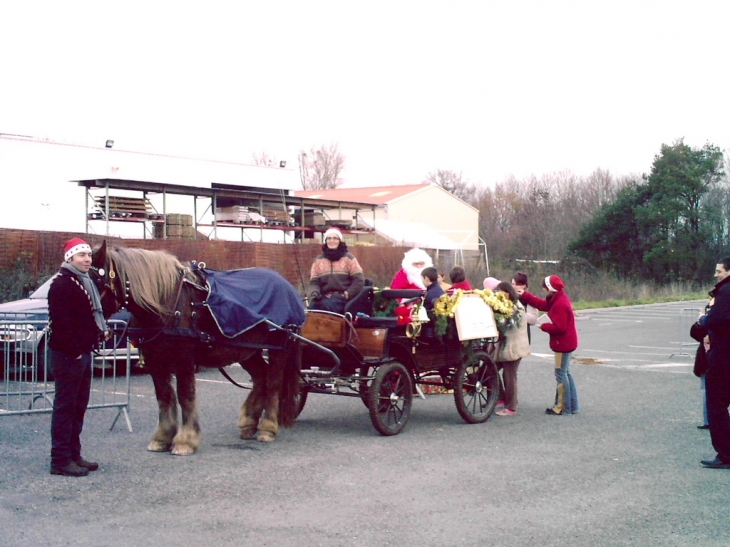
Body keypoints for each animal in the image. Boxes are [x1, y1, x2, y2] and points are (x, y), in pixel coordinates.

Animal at [90, 243, 302, 454]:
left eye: (94, 281)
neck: (167, 302)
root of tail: (287, 286)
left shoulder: (184, 359)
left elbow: (185, 396)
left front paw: (186, 441)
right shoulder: (156, 362)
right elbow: (164, 397)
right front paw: (162, 438)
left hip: (277, 347)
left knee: (273, 382)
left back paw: (267, 428)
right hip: (247, 350)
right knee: (261, 378)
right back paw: (249, 423)